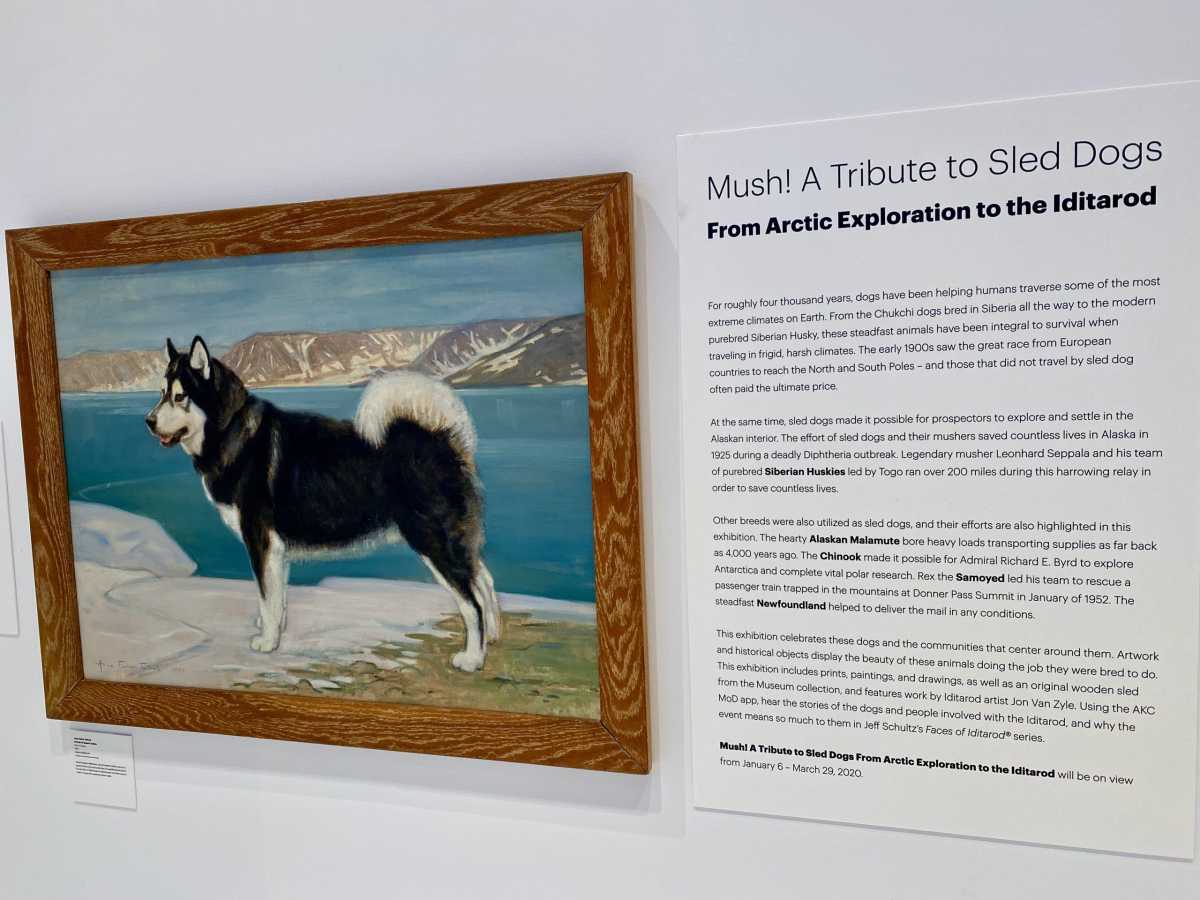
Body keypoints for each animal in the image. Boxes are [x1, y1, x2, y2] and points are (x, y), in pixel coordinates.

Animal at [144, 335, 500, 672]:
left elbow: (266, 596)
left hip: (431, 539)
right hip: (454, 541)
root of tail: (441, 438)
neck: (232, 431)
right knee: (484, 581)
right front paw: (274, 631)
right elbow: (276, 598)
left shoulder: (261, 541)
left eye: (180, 397)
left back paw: (472, 659)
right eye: (161, 393)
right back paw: (493, 638)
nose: (148, 421)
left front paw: (267, 642)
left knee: (471, 602)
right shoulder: (276, 549)